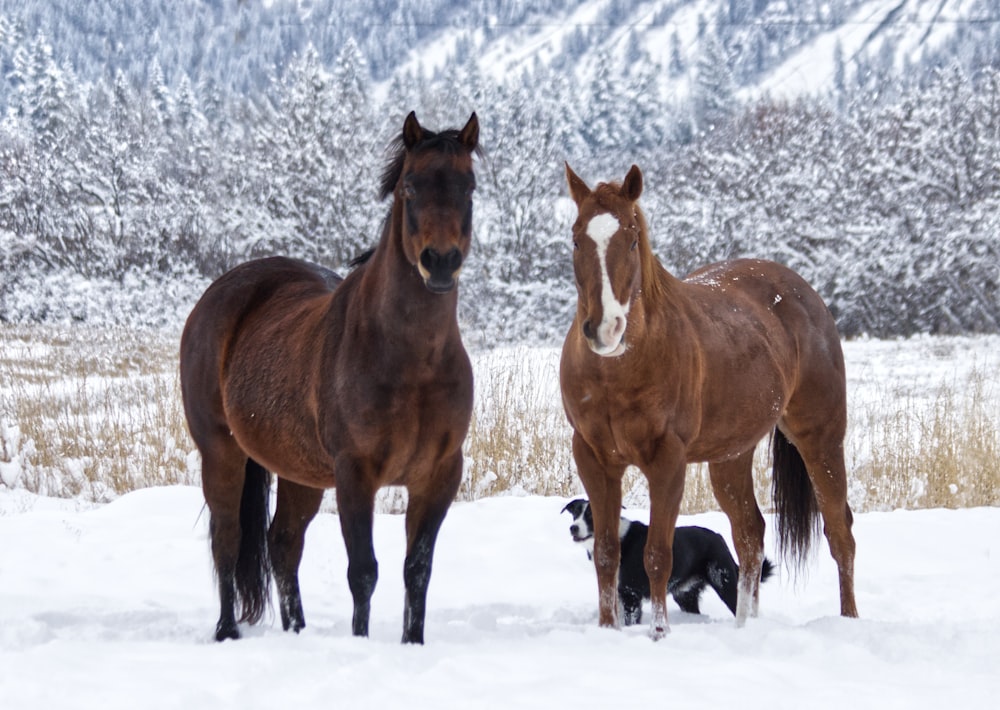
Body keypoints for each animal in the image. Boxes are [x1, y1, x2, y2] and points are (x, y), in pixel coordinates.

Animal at [180, 111, 480, 644]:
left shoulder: (439, 475)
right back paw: (227, 631)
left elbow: (417, 569)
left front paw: (413, 643)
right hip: (221, 451)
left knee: (282, 545)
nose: (440, 261)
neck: (414, 362)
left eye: (469, 187)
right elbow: (363, 571)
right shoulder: (355, 473)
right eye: (410, 186)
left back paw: (297, 631)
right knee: (229, 539)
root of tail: (220, 293)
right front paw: (360, 642)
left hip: (299, 472)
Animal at [560, 500, 776, 624]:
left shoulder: (631, 594)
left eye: (591, 515)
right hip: (685, 595)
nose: (573, 528)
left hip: (725, 583)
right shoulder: (617, 591)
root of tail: (718, 537)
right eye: (575, 513)